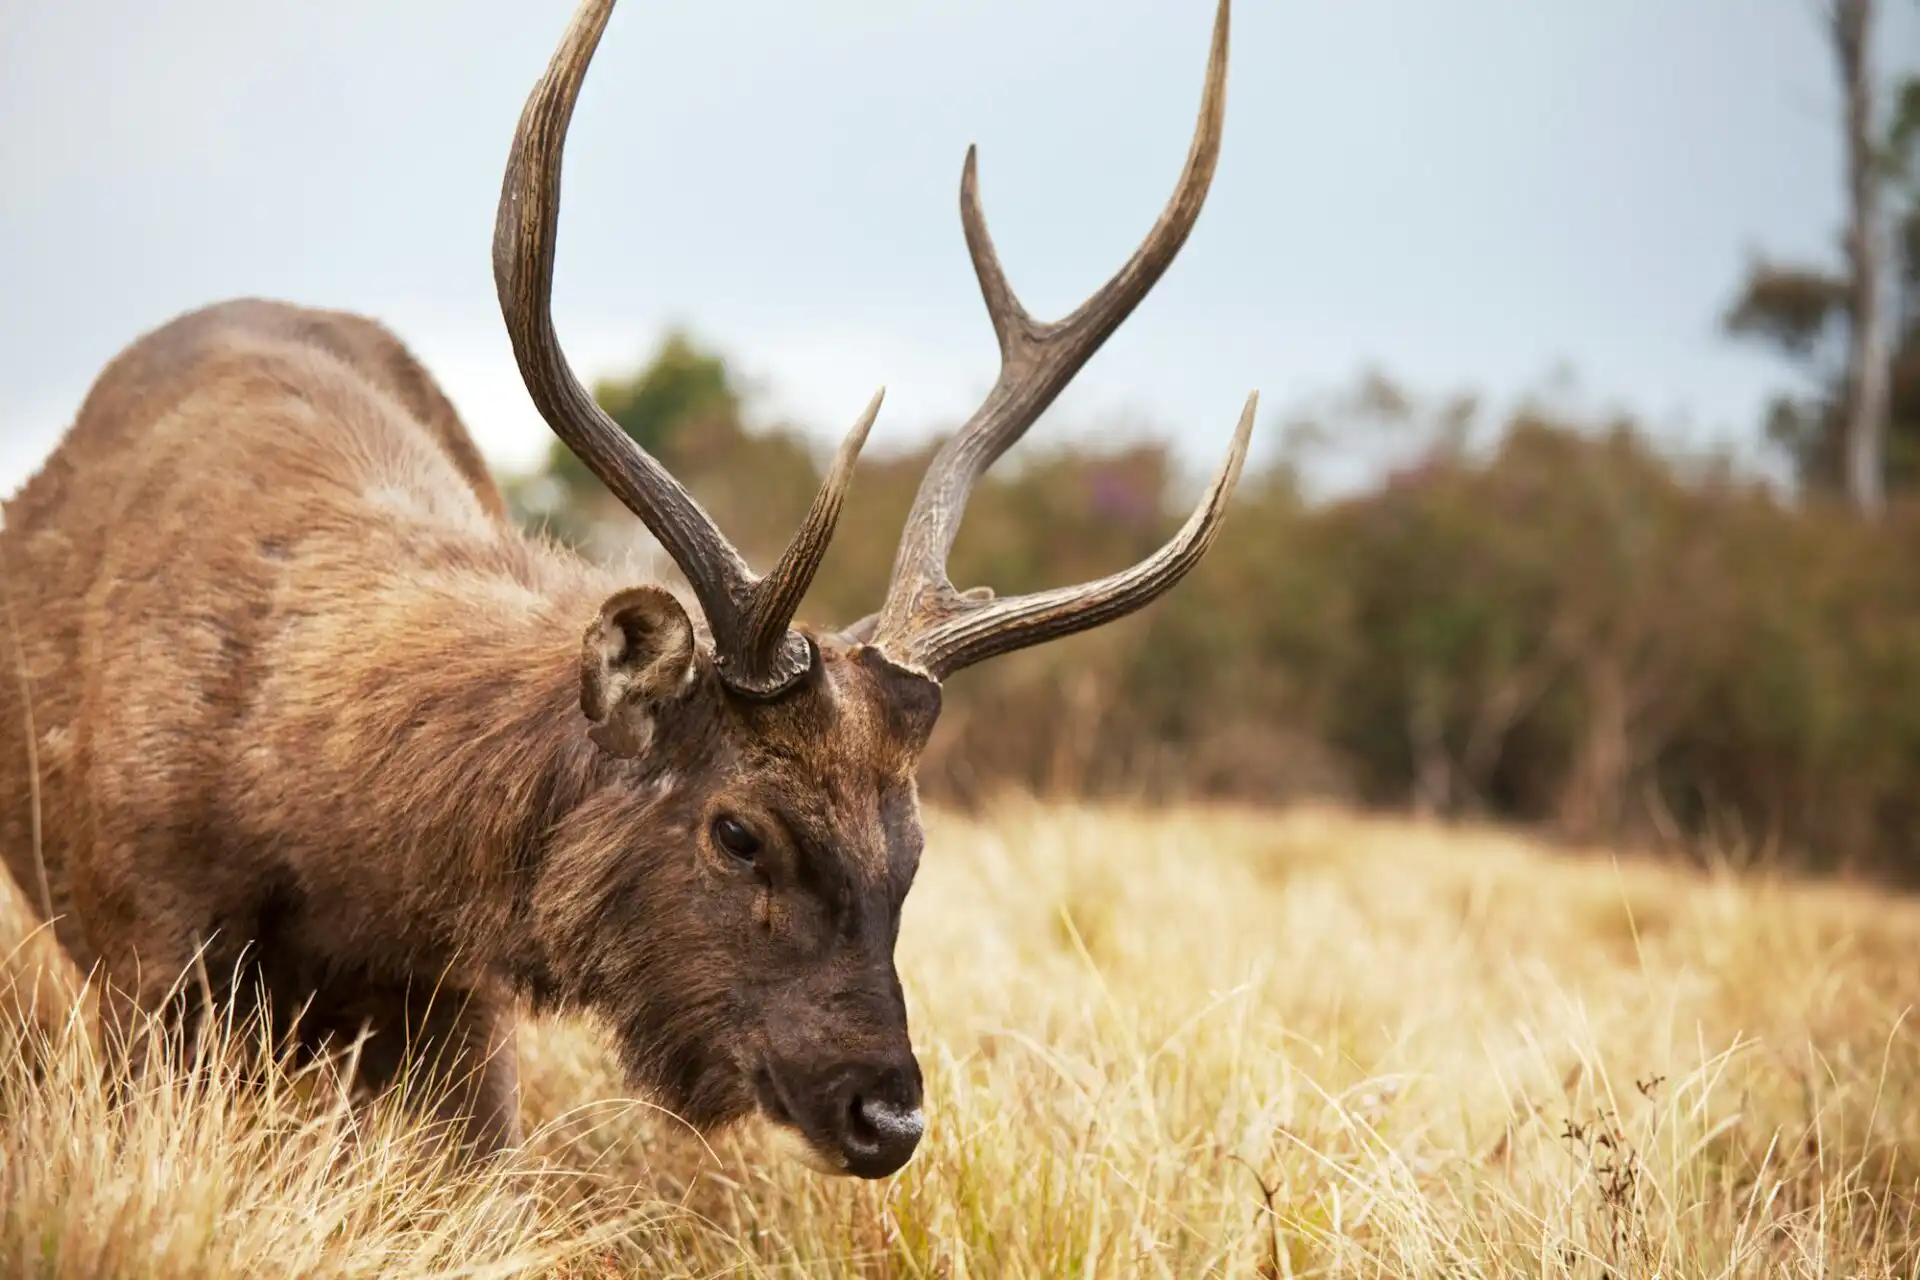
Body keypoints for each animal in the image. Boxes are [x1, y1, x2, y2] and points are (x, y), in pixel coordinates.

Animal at [0, 0, 1252, 1180]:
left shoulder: (459, 1002)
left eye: (912, 847)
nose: (888, 1114)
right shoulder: (144, 968)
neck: (315, 830)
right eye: (738, 831)